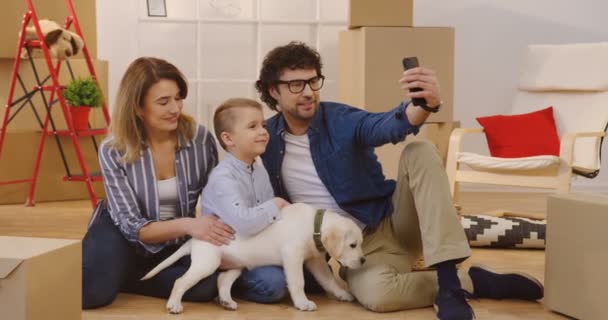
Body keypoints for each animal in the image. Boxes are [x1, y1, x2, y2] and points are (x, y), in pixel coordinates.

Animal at [140, 202, 364, 312]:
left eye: (360, 244)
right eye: (352, 245)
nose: (363, 261)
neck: (312, 225)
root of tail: (195, 238)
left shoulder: (315, 261)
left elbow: (329, 280)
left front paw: (342, 294)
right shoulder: (292, 256)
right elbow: (298, 282)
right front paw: (302, 303)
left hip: (234, 265)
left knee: (223, 280)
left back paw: (227, 302)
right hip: (207, 263)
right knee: (180, 281)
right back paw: (174, 305)